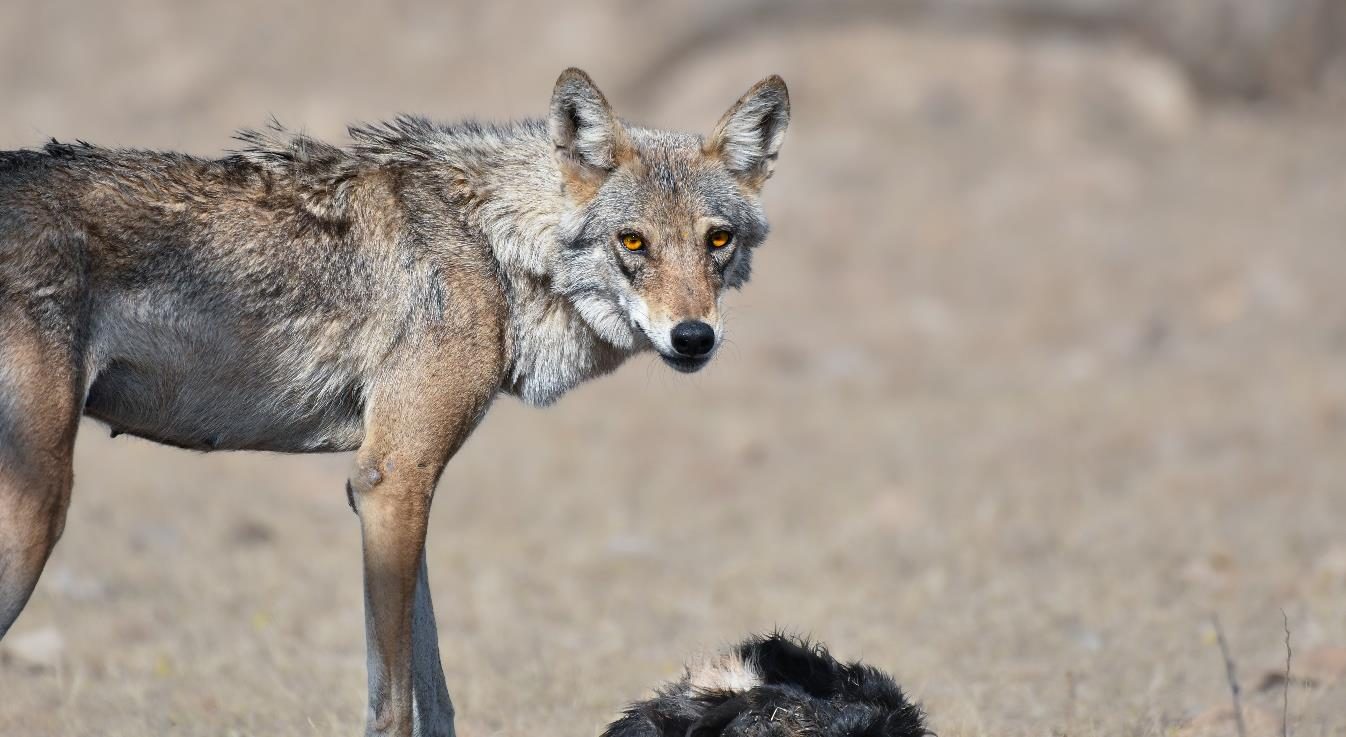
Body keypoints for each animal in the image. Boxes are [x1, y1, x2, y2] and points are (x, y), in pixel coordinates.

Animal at [0, 68, 789, 736]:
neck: (493, 248)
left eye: (717, 240)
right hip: (38, 508)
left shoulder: (394, 485)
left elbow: (435, 694)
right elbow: (394, 702)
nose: (693, 337)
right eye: (633, 242)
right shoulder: (392, 477)